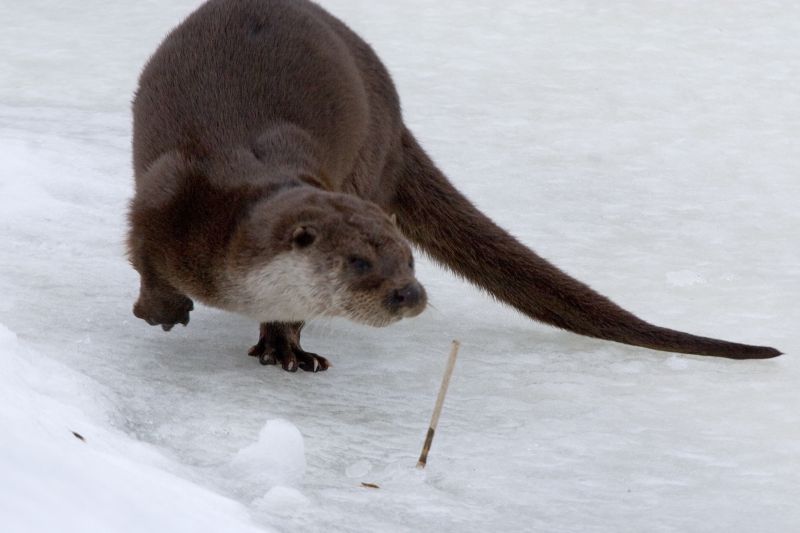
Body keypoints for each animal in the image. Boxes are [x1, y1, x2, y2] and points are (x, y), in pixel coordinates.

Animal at [126, 0, 780, 370]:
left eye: (411, 260)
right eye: (360, 263)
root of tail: (393, 110)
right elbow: (143, 257)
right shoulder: (163, 196)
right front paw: (160, 310)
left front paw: (286, 348)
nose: (409, 295)